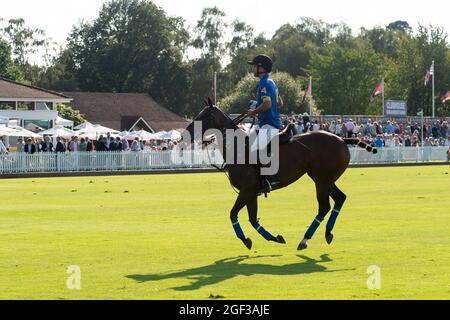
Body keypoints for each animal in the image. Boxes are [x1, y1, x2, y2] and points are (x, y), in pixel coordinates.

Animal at [183, 101, 376, 251]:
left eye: (204, 116)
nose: (185, 135)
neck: (237, 148)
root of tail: (343, 139)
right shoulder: (252, 192)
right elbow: (252, 219)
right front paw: (274, 237)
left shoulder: (247, 189)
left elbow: (233, 214)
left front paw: (245, 240)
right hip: (323, 179)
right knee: (340, 198)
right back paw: (327, 233)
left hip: (321, 180)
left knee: (325, 206)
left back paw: (305, 239)